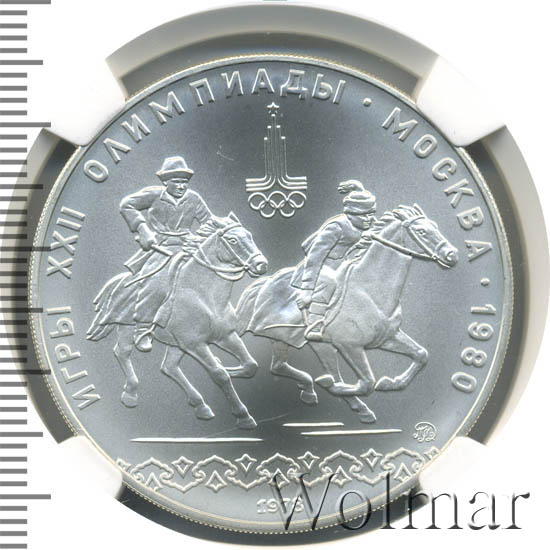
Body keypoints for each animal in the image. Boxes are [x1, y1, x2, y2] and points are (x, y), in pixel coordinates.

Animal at [87, 214, 268, 430]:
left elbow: (251, 365)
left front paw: (230, 369)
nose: (261, 265)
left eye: (249, 235)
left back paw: (200, 405)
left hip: (176, 344)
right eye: (232, 240)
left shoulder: (225, 336)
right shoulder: (195, 344)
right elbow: (220, 374)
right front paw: (243, 416)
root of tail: (119, 280)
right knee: (123, 353)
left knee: (169, 367)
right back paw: (130, 394)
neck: (203, 294)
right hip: (126, 329)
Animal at [236, 204, 458, 424]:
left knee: (279, 367)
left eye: (435, 225)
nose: (452, 255)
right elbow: (367, 383)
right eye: (421, 231)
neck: (368, 290)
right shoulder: (350, 346)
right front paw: (332, 385)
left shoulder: (387, 337)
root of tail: (263, 284)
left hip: (298, 342)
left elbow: (421, 355)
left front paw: (391, 383)